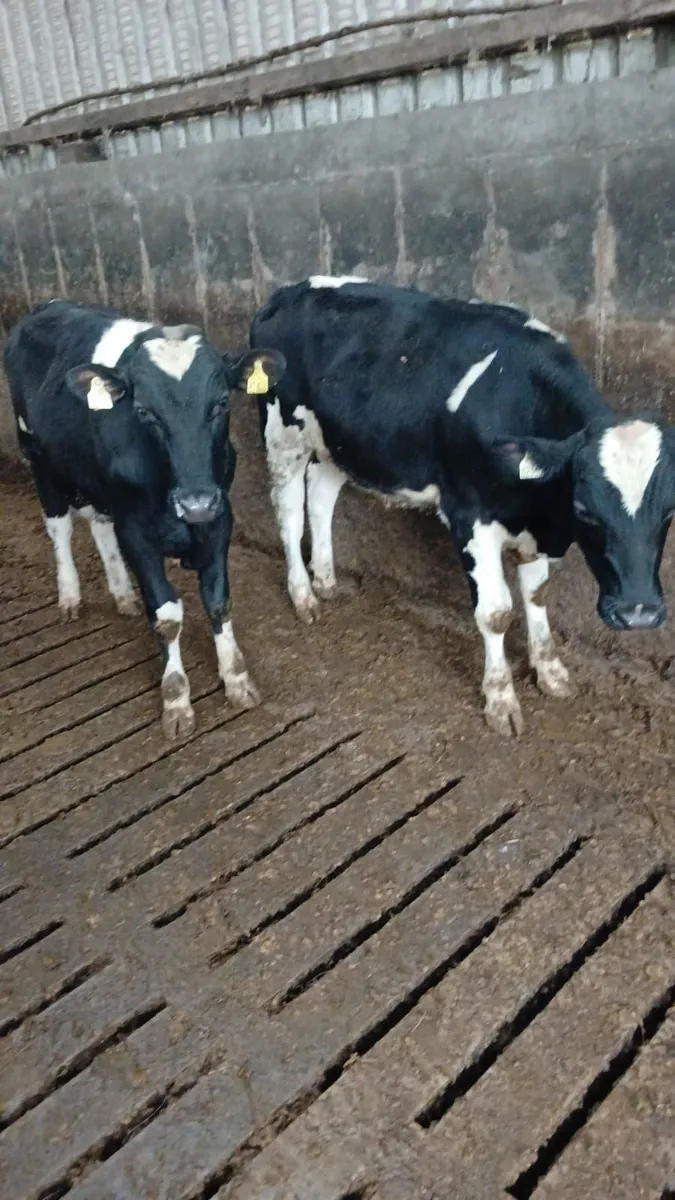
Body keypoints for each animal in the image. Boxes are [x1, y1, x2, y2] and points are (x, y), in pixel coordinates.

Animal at [5, 300, 285, 739]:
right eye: (144, 412)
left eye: (221, 402)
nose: (195, 502)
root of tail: (48, 306)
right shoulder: (136, 532)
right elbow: (166, 617)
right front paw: (176, 699)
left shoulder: (219, 517)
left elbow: (219, 602)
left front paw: (237, 679)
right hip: (37, 456)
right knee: (59, 526)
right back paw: (69, 596)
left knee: (98, 524)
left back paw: (122, 594)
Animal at [250, 277, 675, 736]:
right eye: (584, 509)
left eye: (670, 511)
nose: (638, 614)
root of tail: (287, 291)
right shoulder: (471, 518)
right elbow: (496, 613)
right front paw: (501, 701)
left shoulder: (536, 528)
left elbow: (537, 596)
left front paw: (551, 671)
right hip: (281, 432)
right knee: (290, 513)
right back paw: (303, 595)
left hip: (341, 442)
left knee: (321, 495)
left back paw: (326, 580)